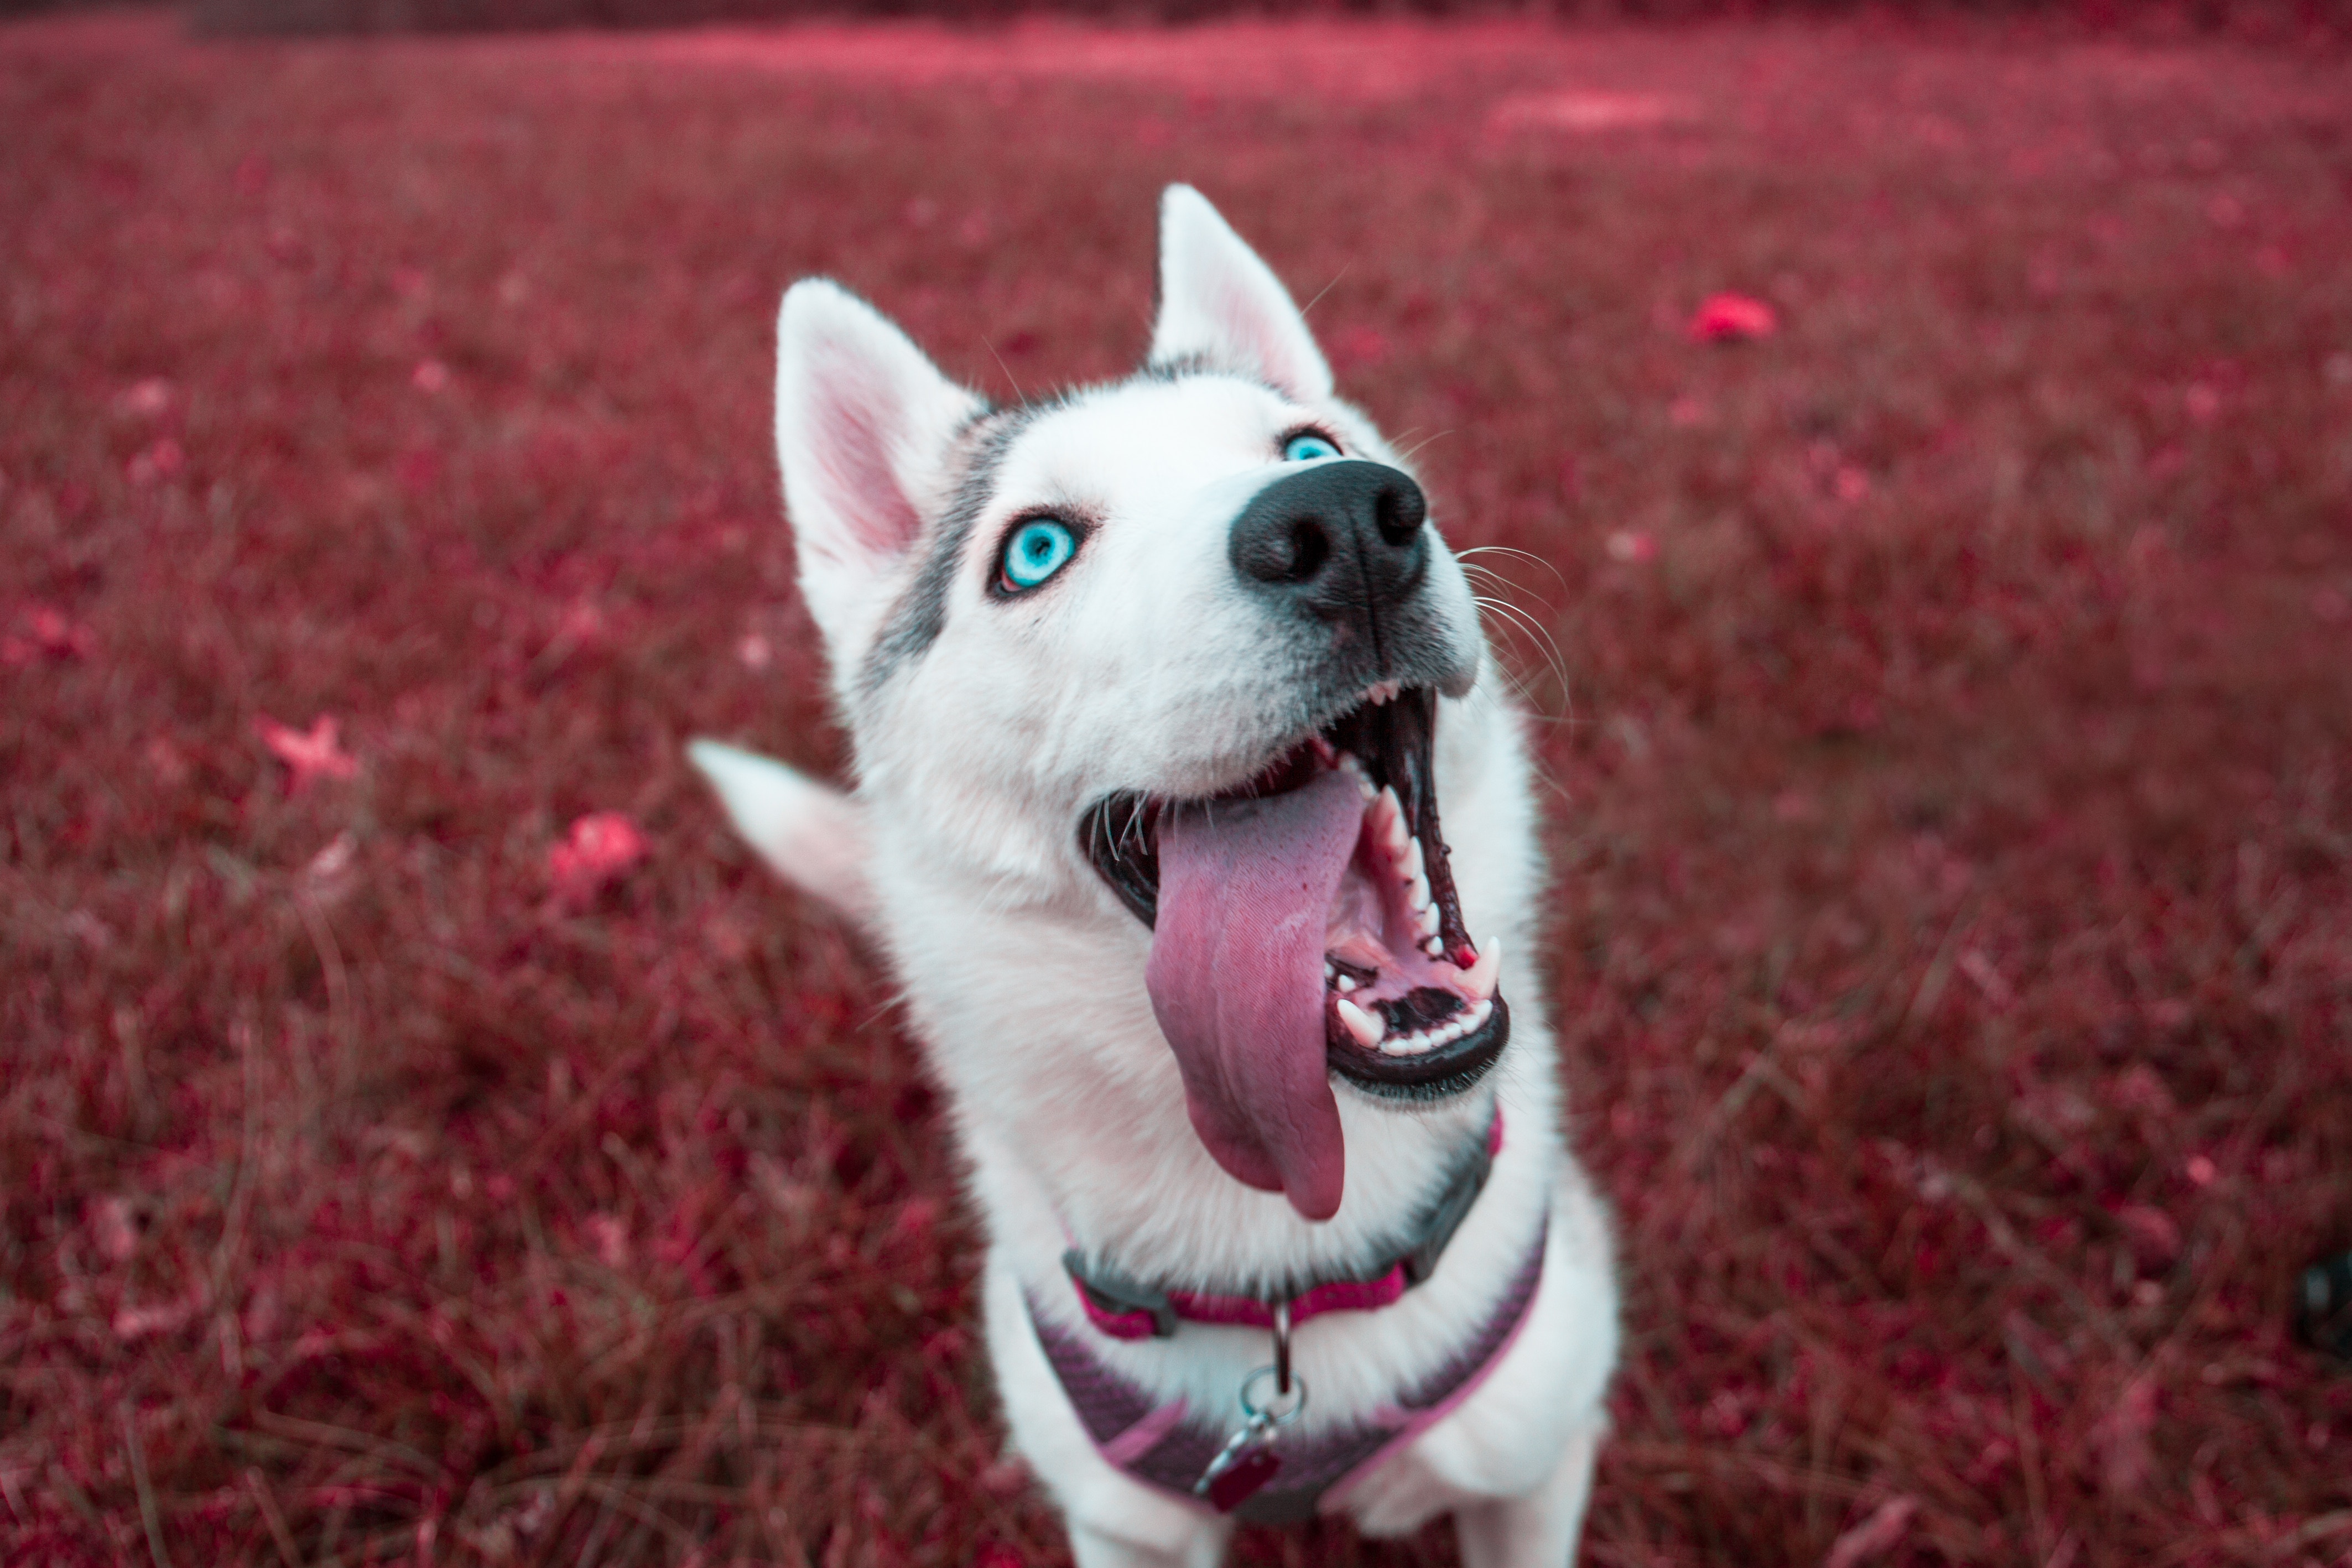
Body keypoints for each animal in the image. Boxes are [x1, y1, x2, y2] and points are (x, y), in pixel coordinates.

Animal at [686, 186, 1627, 1568]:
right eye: (1034, 550)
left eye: (1305, 447)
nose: (1348, 521)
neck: (1289, 1269)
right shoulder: (1123, 1522)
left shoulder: (1532, 1460)